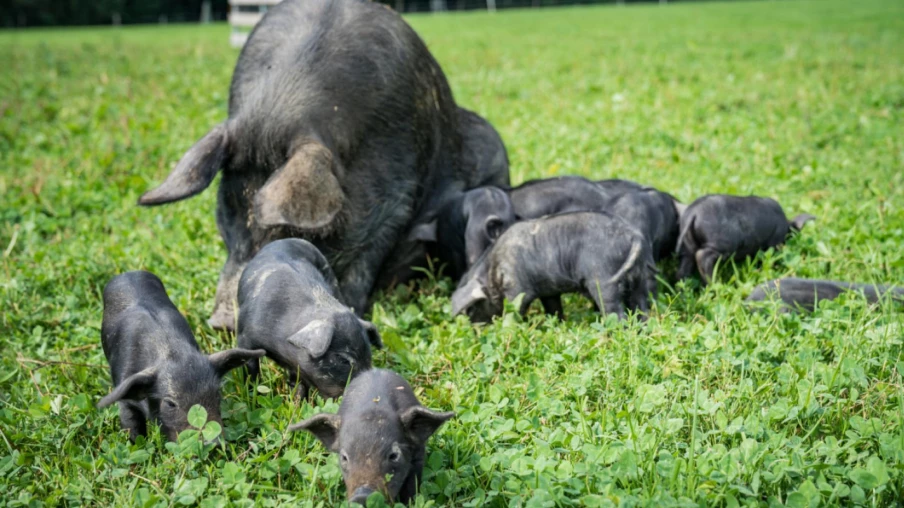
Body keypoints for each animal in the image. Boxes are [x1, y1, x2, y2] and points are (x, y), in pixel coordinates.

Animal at [97, 271, 265, 442]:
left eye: (217, 394)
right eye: (170, 403)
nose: (214, 442)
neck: (172, 353)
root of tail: (129, 272)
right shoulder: (124, 392)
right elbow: (131, 426)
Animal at [237, 239, 383, 399]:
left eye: (369, 356)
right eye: (343, 359)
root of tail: (286, 239)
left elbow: (299, 385)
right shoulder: (244, 338)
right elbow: (251, 369)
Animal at [451, 211, 658, 322]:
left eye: (471, 309)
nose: (478, 330)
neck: (492, 271)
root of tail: (633, 235)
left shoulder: (517, 289)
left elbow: (514, 311)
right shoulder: (548, 291)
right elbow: (553, 308)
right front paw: (558, 323)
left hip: (604, 281)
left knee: (616, 313)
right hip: (638, 279)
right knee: (641, 307)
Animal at [676, 195, 816, 285]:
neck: (786, 225)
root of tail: (693, 213)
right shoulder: (774, 243)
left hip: (688, 244)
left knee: (687, 260)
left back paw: (683, 285)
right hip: (720, 243)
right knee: (702, 256)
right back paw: (715, 284)